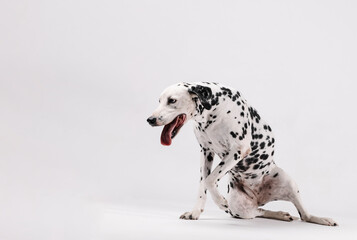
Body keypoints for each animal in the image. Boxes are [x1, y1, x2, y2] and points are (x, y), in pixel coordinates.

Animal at [145, 82, 336, 227]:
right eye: (159, 101)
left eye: (172, 100)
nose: (150, 119)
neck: (213, 110)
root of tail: (258, 198)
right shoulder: (206, 152)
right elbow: (202, 184)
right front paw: (195, 212)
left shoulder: (237, 150)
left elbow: (210, 180)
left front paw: (220, 201)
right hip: (240, 208)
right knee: (258, 212)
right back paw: (281, 214)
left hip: (289, 182)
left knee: (304, 215)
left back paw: (320, 219)